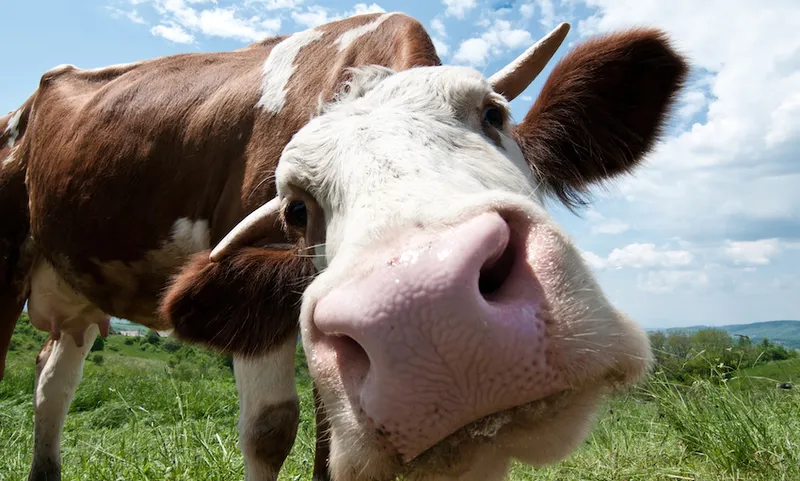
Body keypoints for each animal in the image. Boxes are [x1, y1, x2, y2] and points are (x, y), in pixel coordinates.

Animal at [0, 11, 688, 481]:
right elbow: (270, 430)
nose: (431, 315)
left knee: (51, 381)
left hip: (77, 297)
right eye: (295, 209)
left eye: (495, 114)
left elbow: (334, 445)